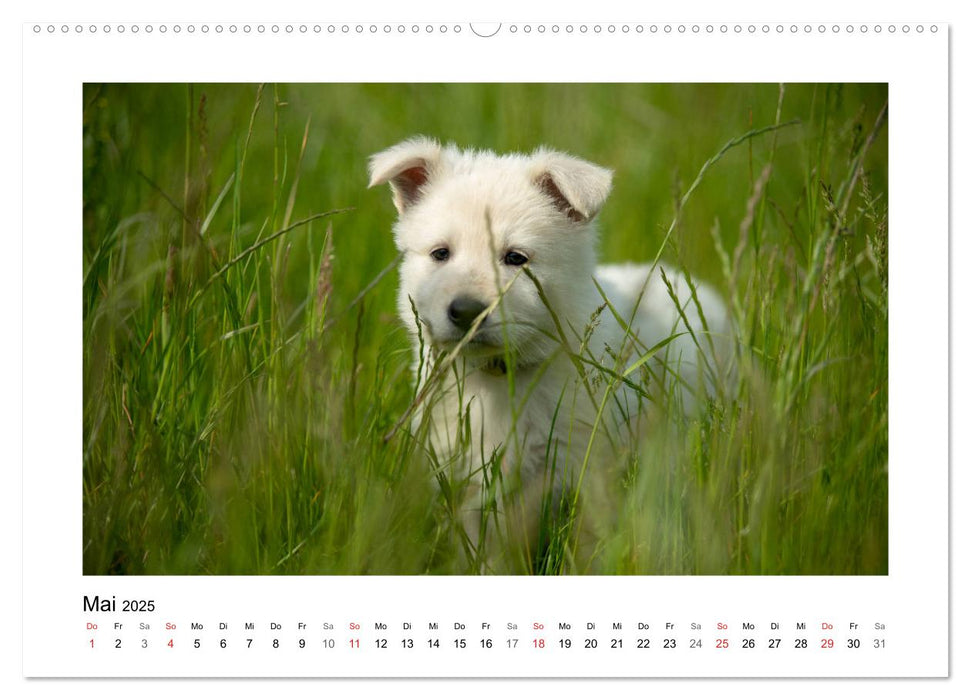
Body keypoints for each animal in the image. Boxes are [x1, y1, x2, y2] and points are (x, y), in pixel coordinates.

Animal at [372, 138, 728, 556]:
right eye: (440, 254)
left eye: (516, 258)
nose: (466, 311)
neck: (500, 376)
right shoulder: (463, 472)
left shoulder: (582, 466)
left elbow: (586, 541)